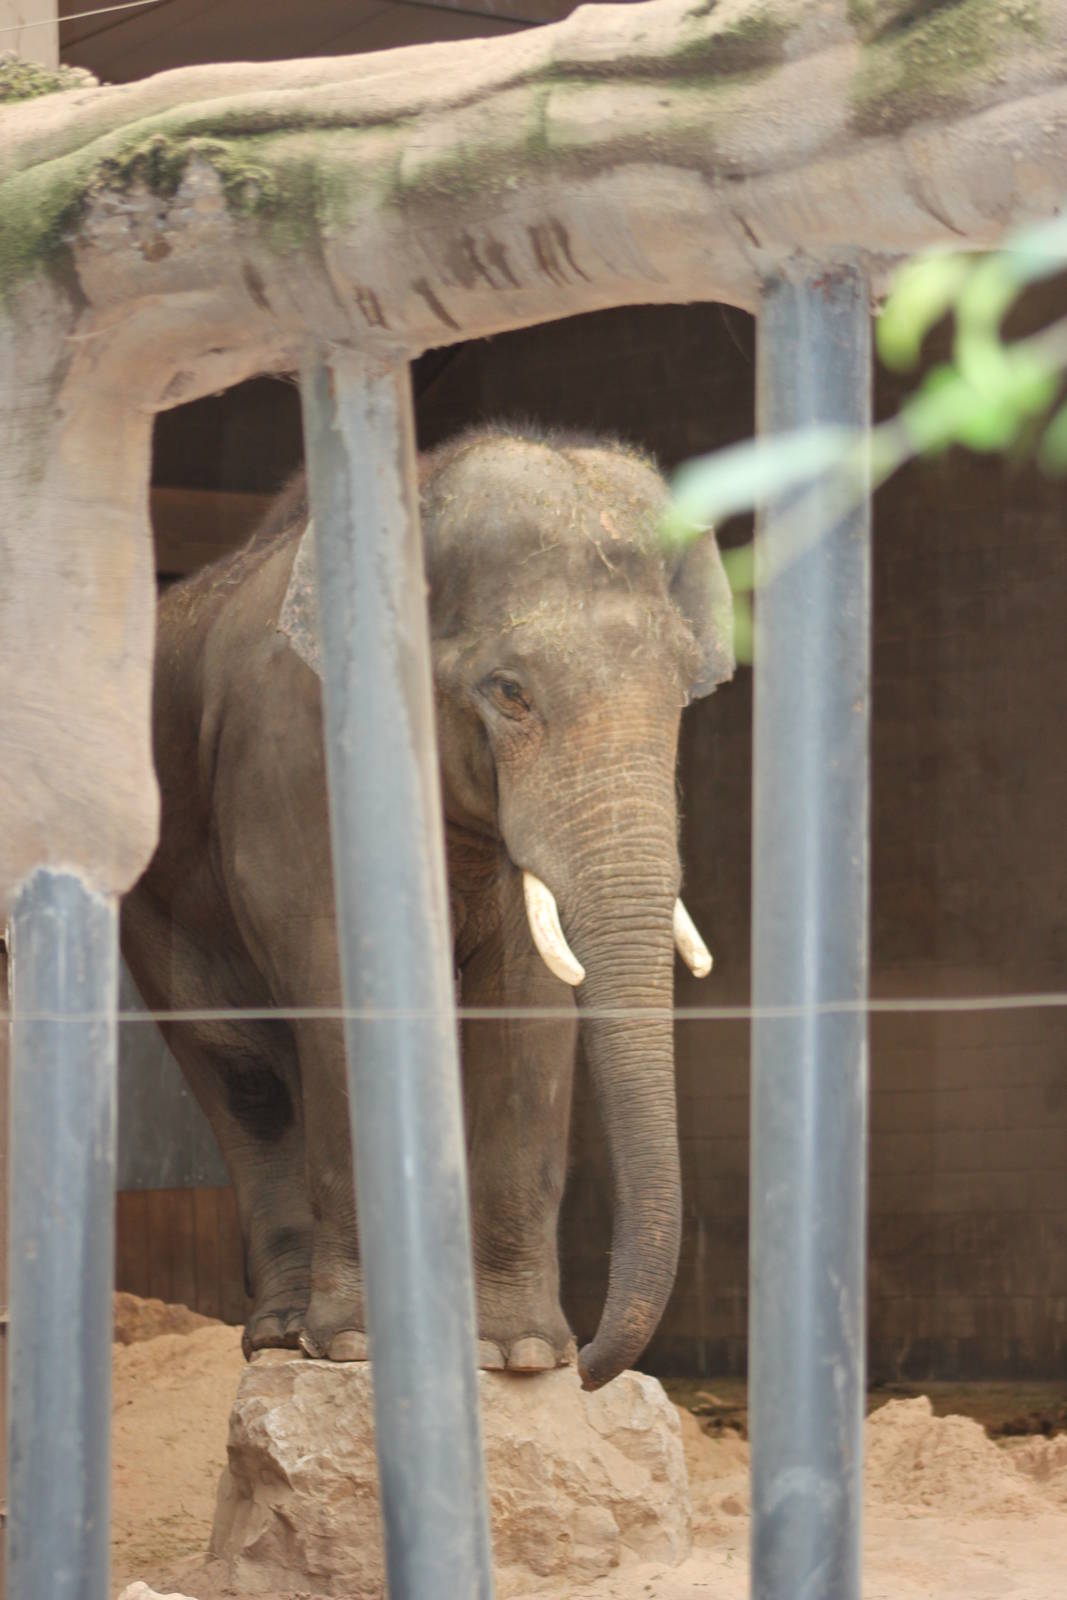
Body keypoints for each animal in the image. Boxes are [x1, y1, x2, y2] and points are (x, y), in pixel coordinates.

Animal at [121, 422, 734, 1392]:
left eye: (681, 690)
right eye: (508, 692)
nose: (593, 1364)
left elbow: (527, 1004)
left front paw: (522, 1356)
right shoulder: (291, 757)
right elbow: (339, 981)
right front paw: (356, 1348)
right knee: (243, 1072)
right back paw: (285, 1337)